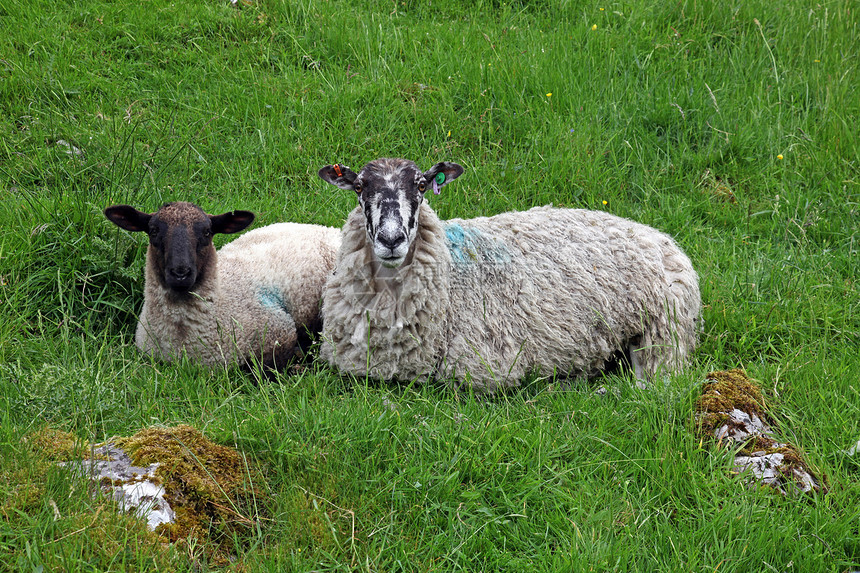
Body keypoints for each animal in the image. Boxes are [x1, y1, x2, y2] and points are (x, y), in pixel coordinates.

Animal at [316, 156, 700, 392]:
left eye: (422, 185)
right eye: (360, 187)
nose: (391, 239)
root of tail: (658, 235)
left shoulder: (483, 369)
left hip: (663, 334)